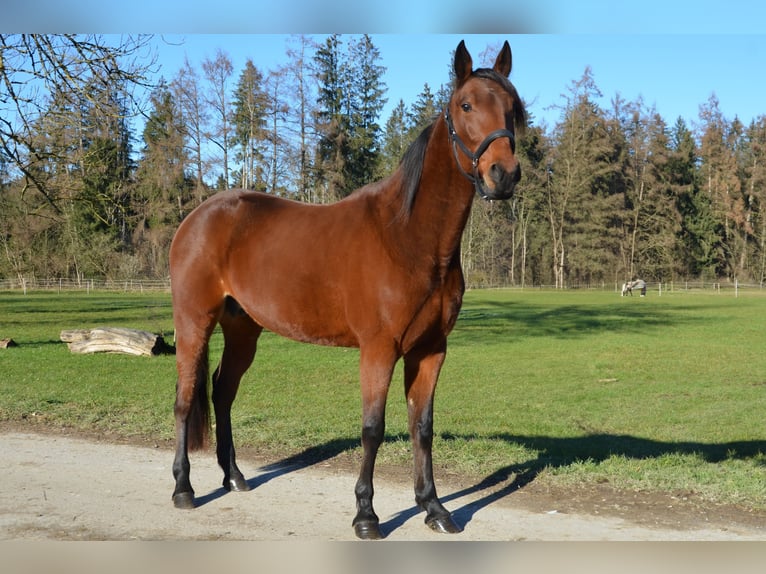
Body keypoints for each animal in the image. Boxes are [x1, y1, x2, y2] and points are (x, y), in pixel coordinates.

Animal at [170, 39, 528, 540]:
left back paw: (235, 476)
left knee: (222, 392)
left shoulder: (431, 350)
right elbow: (372, 429)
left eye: (513, 109)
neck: (407, 236)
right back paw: (184, 489)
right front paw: (366, 515)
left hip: (244, 329)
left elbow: (422, 426)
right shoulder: (378, 349)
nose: (503, 174)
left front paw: (434, 508)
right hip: (194, 322)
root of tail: (197, 217)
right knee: (186, 400)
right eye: (466, 105)